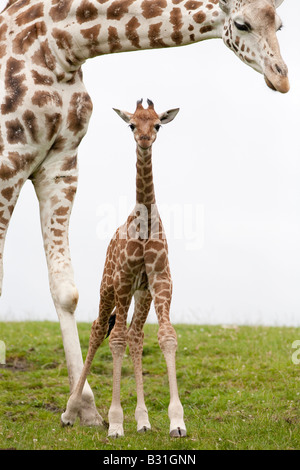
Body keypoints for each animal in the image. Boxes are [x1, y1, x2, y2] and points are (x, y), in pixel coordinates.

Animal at [61, 98, 186, 436]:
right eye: (132, 124)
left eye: (157, 124)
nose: (144, 139)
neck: (144, 224)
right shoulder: (123, 280)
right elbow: (114, 339)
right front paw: (116, 423)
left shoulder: (160, 281)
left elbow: (165, 336)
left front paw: (176, 422)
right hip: (108, 286)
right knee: (98, 329)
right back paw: (70, 411)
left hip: (139, 294)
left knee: (135, 335)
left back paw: (142, 420)